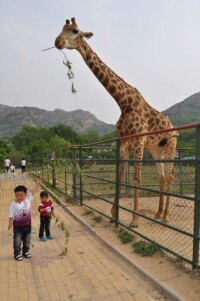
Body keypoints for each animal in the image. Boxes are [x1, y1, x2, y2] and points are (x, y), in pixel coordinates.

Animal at [54, 18, 177, 225]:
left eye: (75, 30)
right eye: (62, 29)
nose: (57, 41)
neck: (123, 102)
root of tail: (176, 130)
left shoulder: (138, 141)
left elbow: (136, 178)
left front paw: (134, 220)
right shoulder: (124, 142)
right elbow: (119, 176)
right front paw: (113, 215)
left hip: (170, 147)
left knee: (170, 175)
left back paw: (167, 216)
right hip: (156, 149)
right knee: (162, 176)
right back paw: (159, 214)